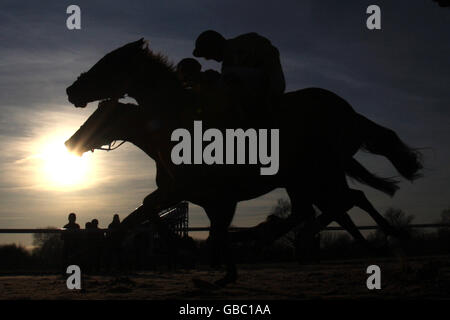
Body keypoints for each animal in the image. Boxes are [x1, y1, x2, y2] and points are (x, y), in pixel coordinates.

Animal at [64, 38, 422, 286]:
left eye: (107, 63)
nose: (71, 89)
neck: (176, 123)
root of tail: (349, 111)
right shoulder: (190, 193)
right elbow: (143, 213)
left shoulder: (210, 193)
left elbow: (183, 221)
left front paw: (206, 257)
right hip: (305, 178)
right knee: (322, 208)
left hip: (317, 174)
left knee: (335, 205)